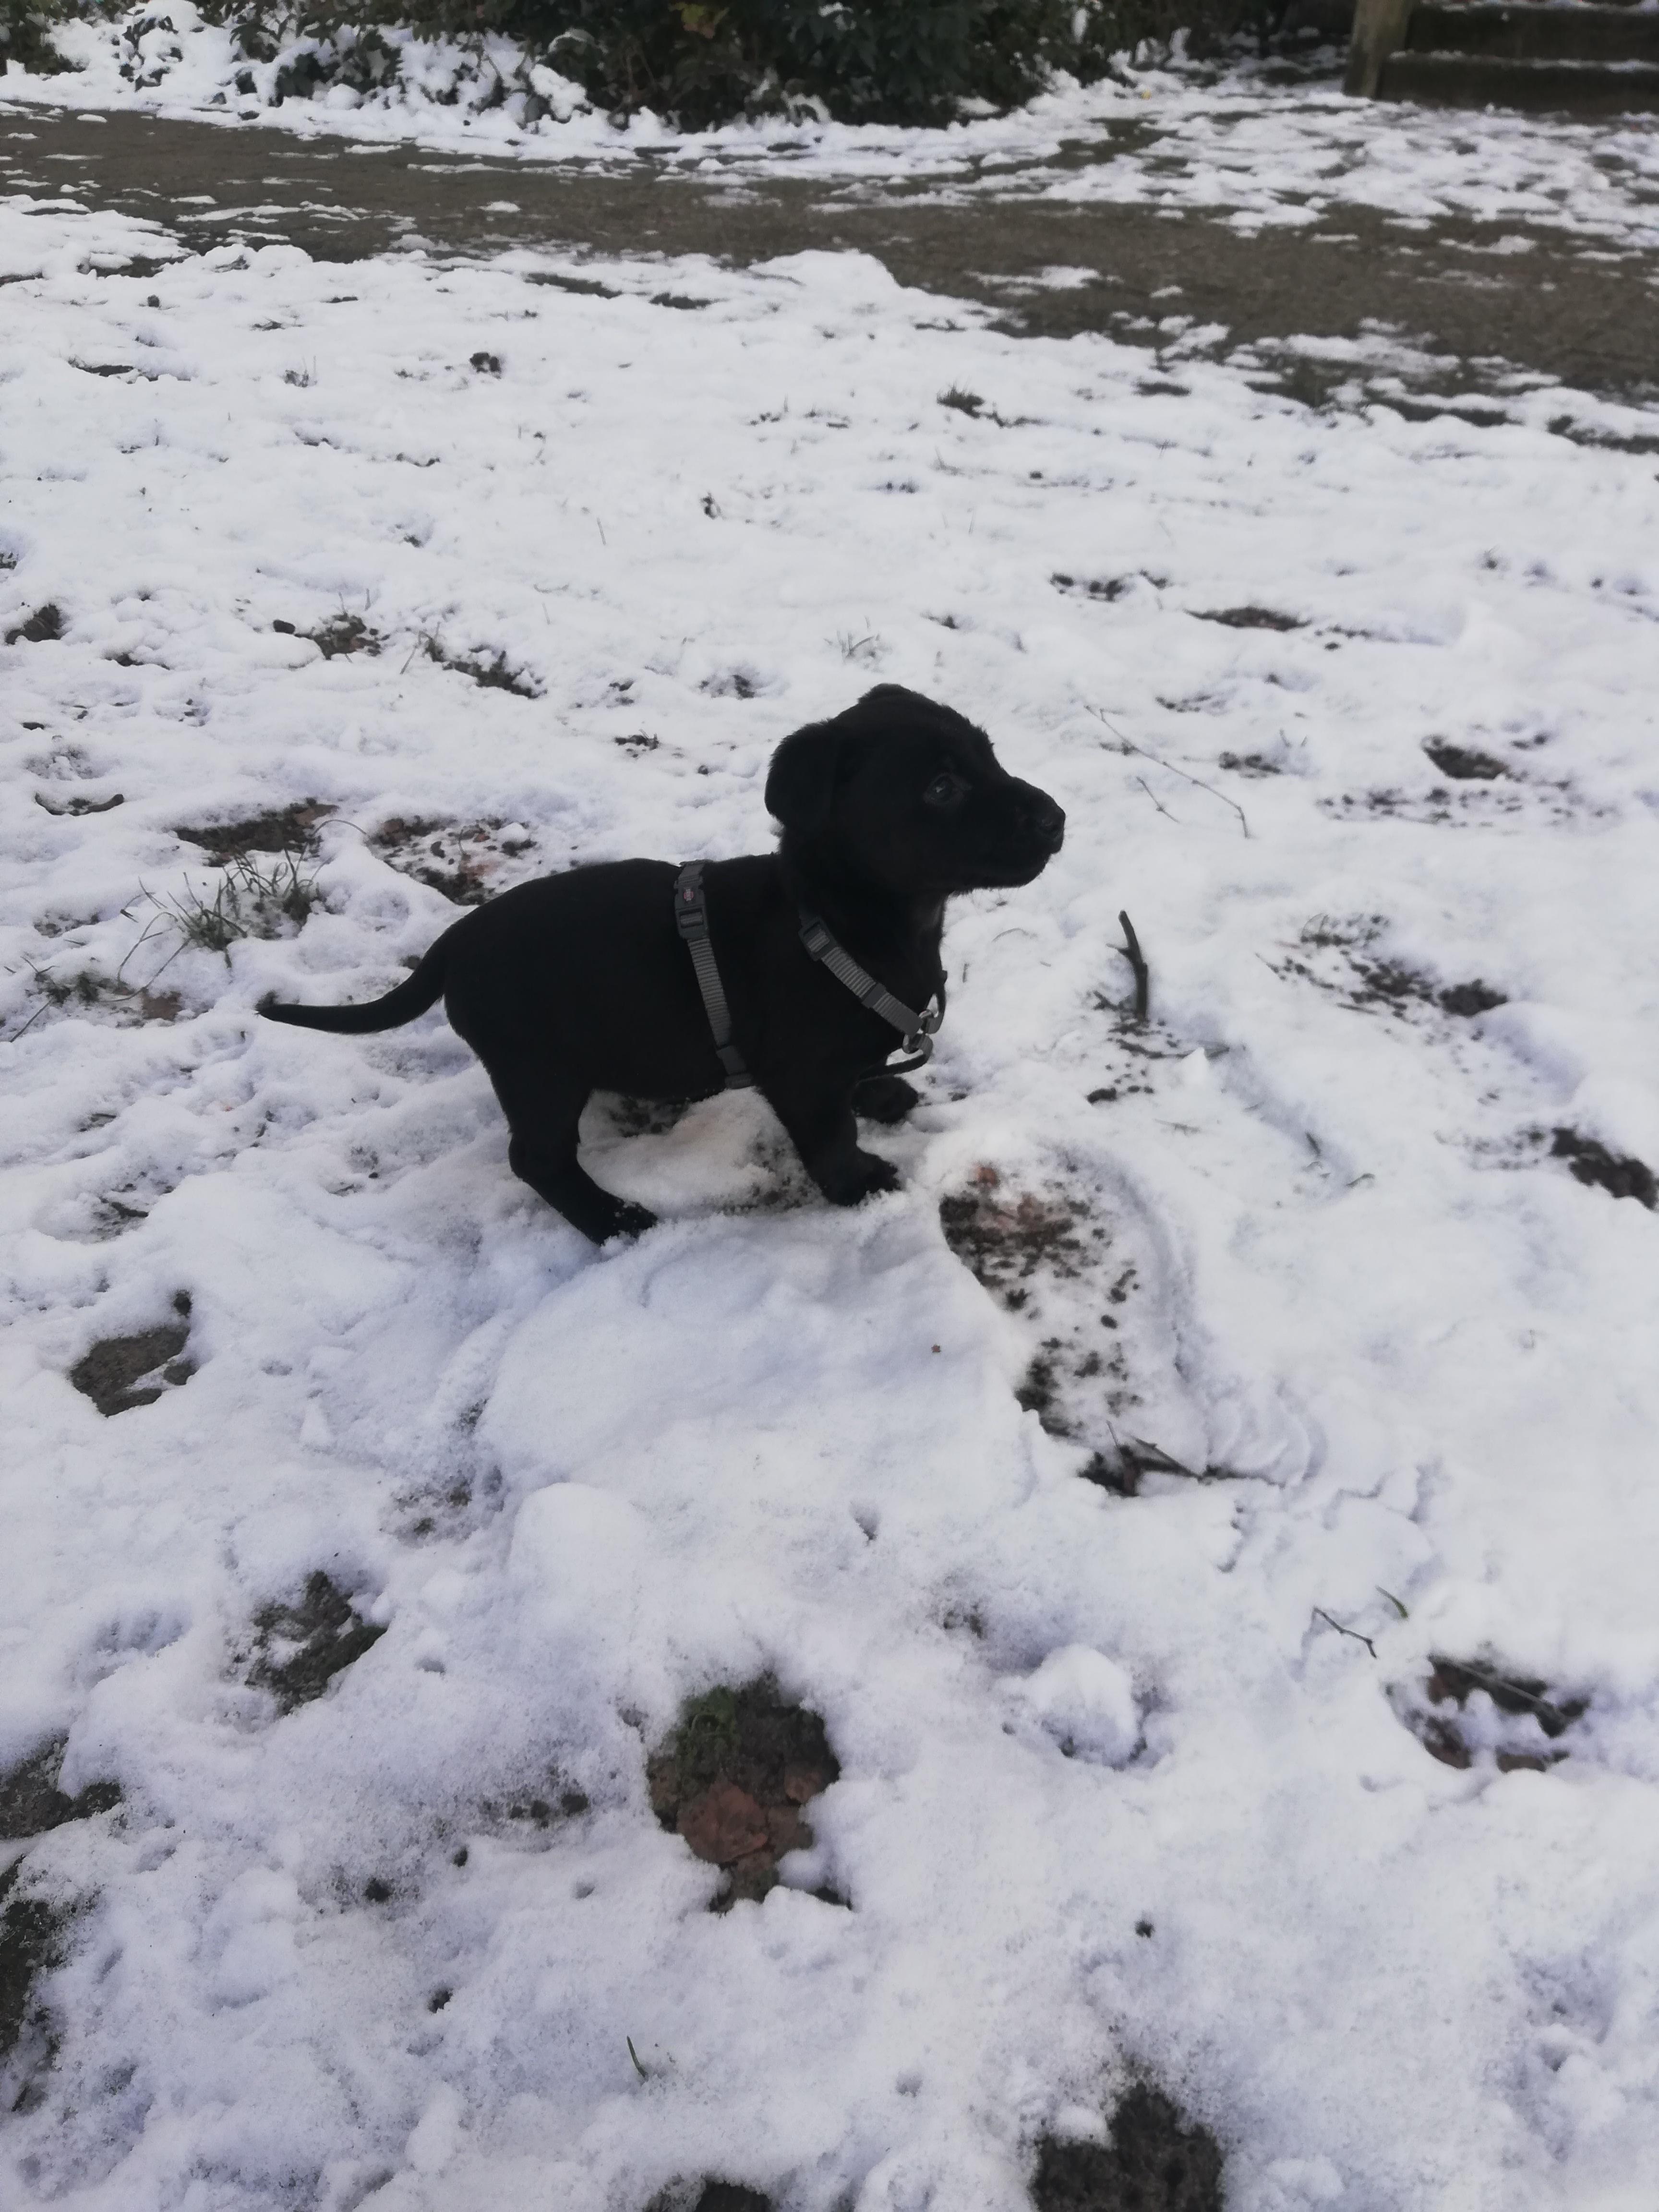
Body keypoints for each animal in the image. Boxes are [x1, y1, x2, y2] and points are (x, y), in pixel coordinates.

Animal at [260, 685, 1066, 1247]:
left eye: (991, 755)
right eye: (941, 788)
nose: (1056, 818)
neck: (836, 918)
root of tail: (452, 945)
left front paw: (882, 1094)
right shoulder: (801, 1079)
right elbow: (831, 1137)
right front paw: (860, 1185)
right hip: (538, 1071)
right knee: (536, 1159)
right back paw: (614, 1221)